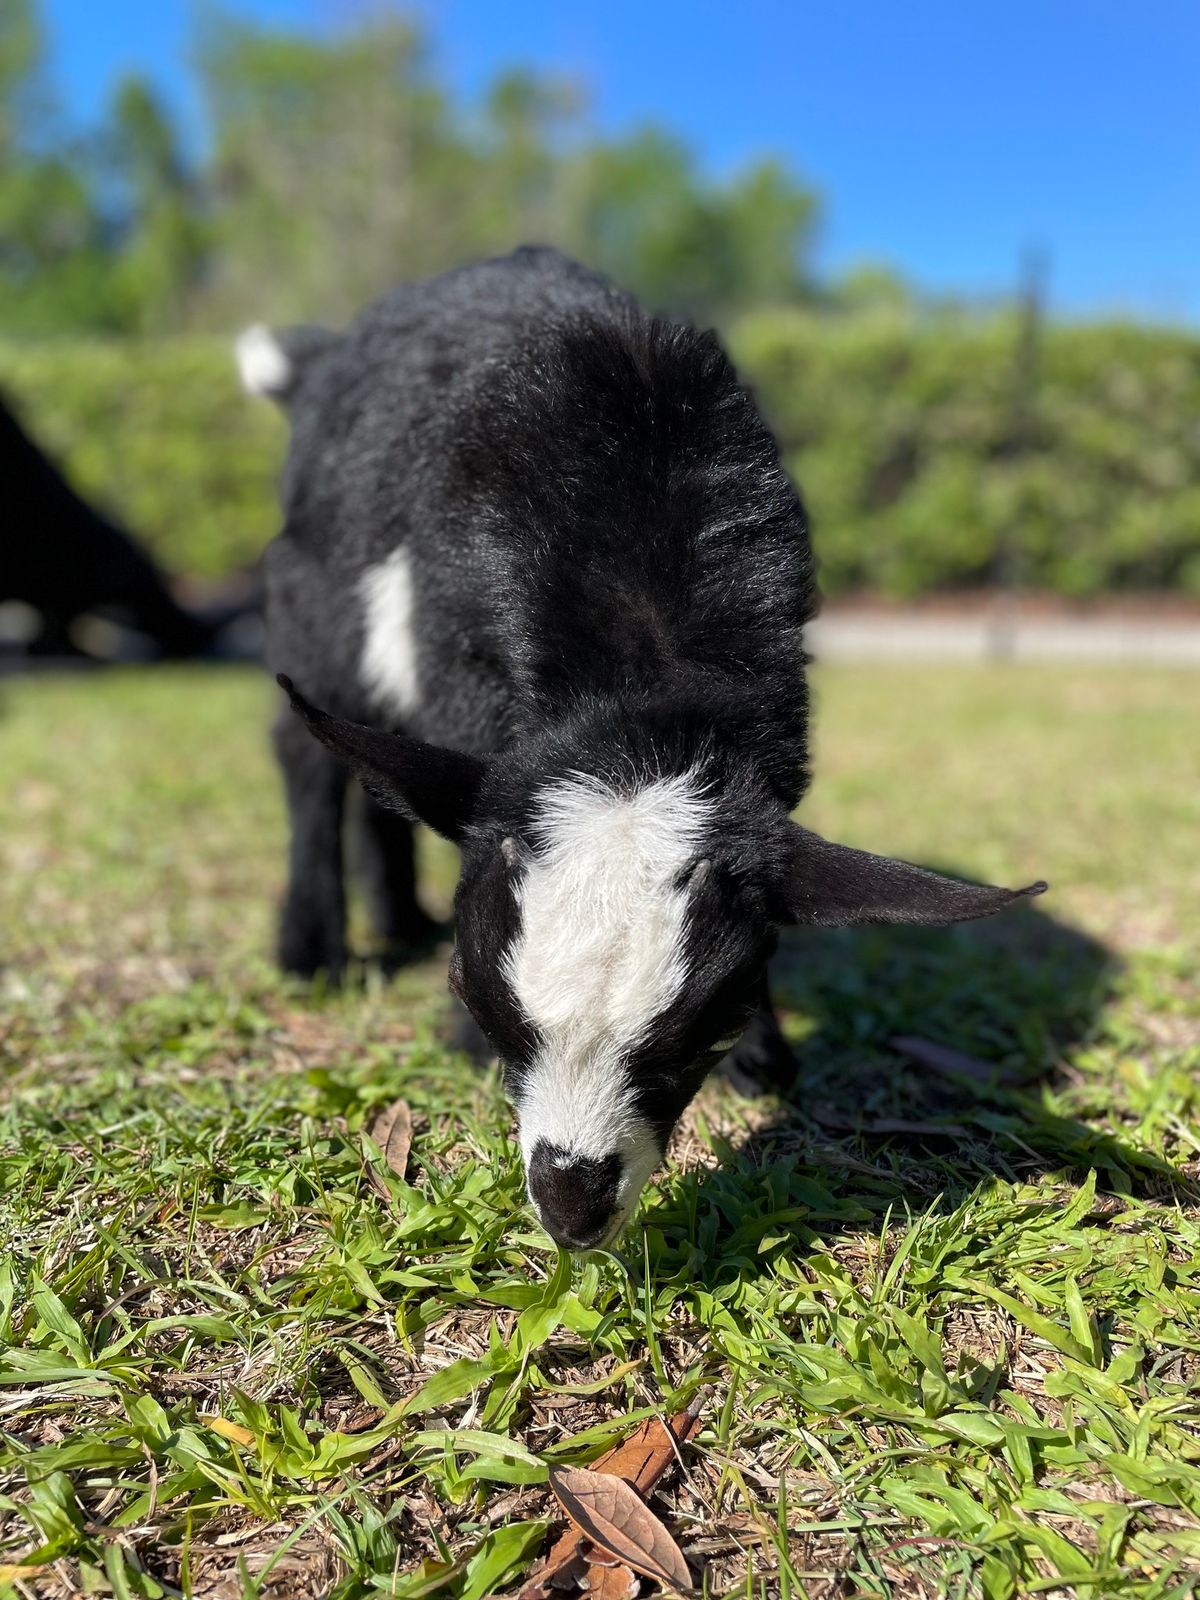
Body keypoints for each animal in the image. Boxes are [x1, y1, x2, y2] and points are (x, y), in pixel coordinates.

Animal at [240, 246, 1049, 1248]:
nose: (571, 1209)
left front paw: (765, 1059)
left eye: (710, 1020)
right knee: (308, 751)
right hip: (311, 591)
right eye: (477, 996)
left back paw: (400, 920)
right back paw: (312, 949)